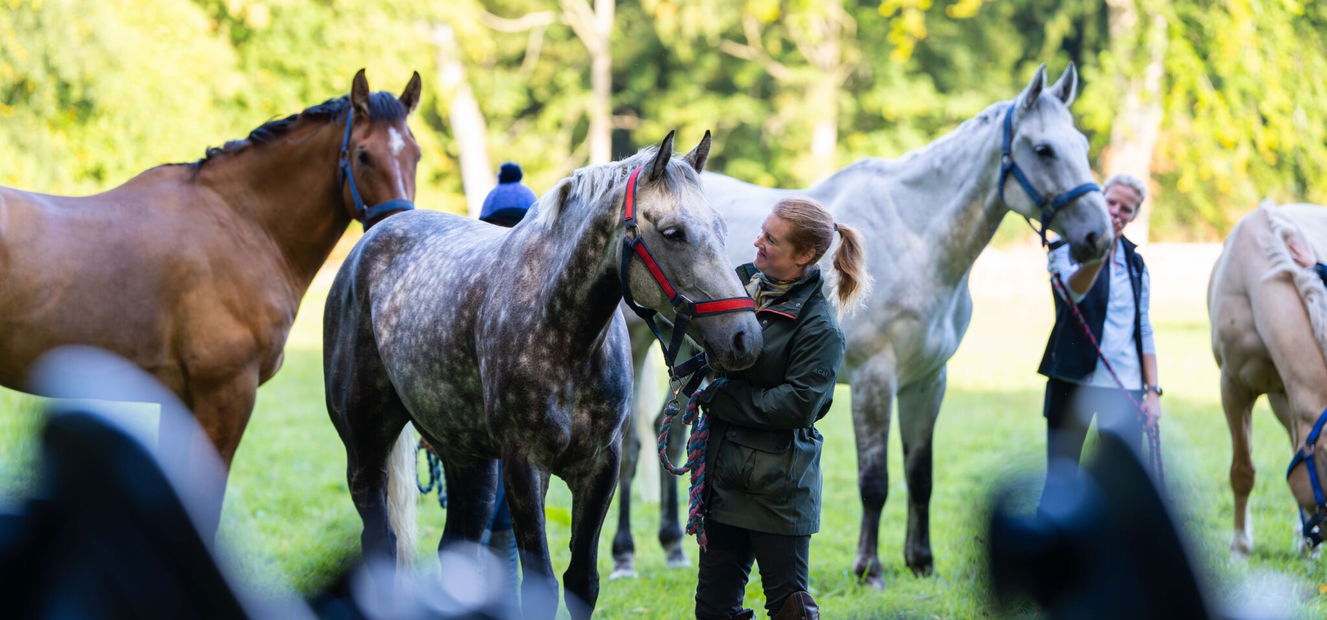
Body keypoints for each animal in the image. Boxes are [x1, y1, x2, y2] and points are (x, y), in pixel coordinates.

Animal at [322, 131, 762, 619]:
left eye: (721, 228)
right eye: (672, 233)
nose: (745, 338)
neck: (566, 337)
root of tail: (368, 245)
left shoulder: (599, 468)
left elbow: (582, 582)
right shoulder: (525, 466)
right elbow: (542, 584)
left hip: (468, 462)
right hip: (367, 450)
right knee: (379, 542)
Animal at [612, 63, 1113, 586]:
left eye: (1080, 143)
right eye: (1044, 149)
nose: (1099, 236)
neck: (915, 239)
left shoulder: (928, 381)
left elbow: (920, 474)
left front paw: (921, 561)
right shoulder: (876, 379)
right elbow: (875, 481)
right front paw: (869, 567)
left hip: (696, 350)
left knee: (674, 433)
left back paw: (673, 546)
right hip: (639, 340)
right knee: (631, 445)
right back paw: (625, 556)